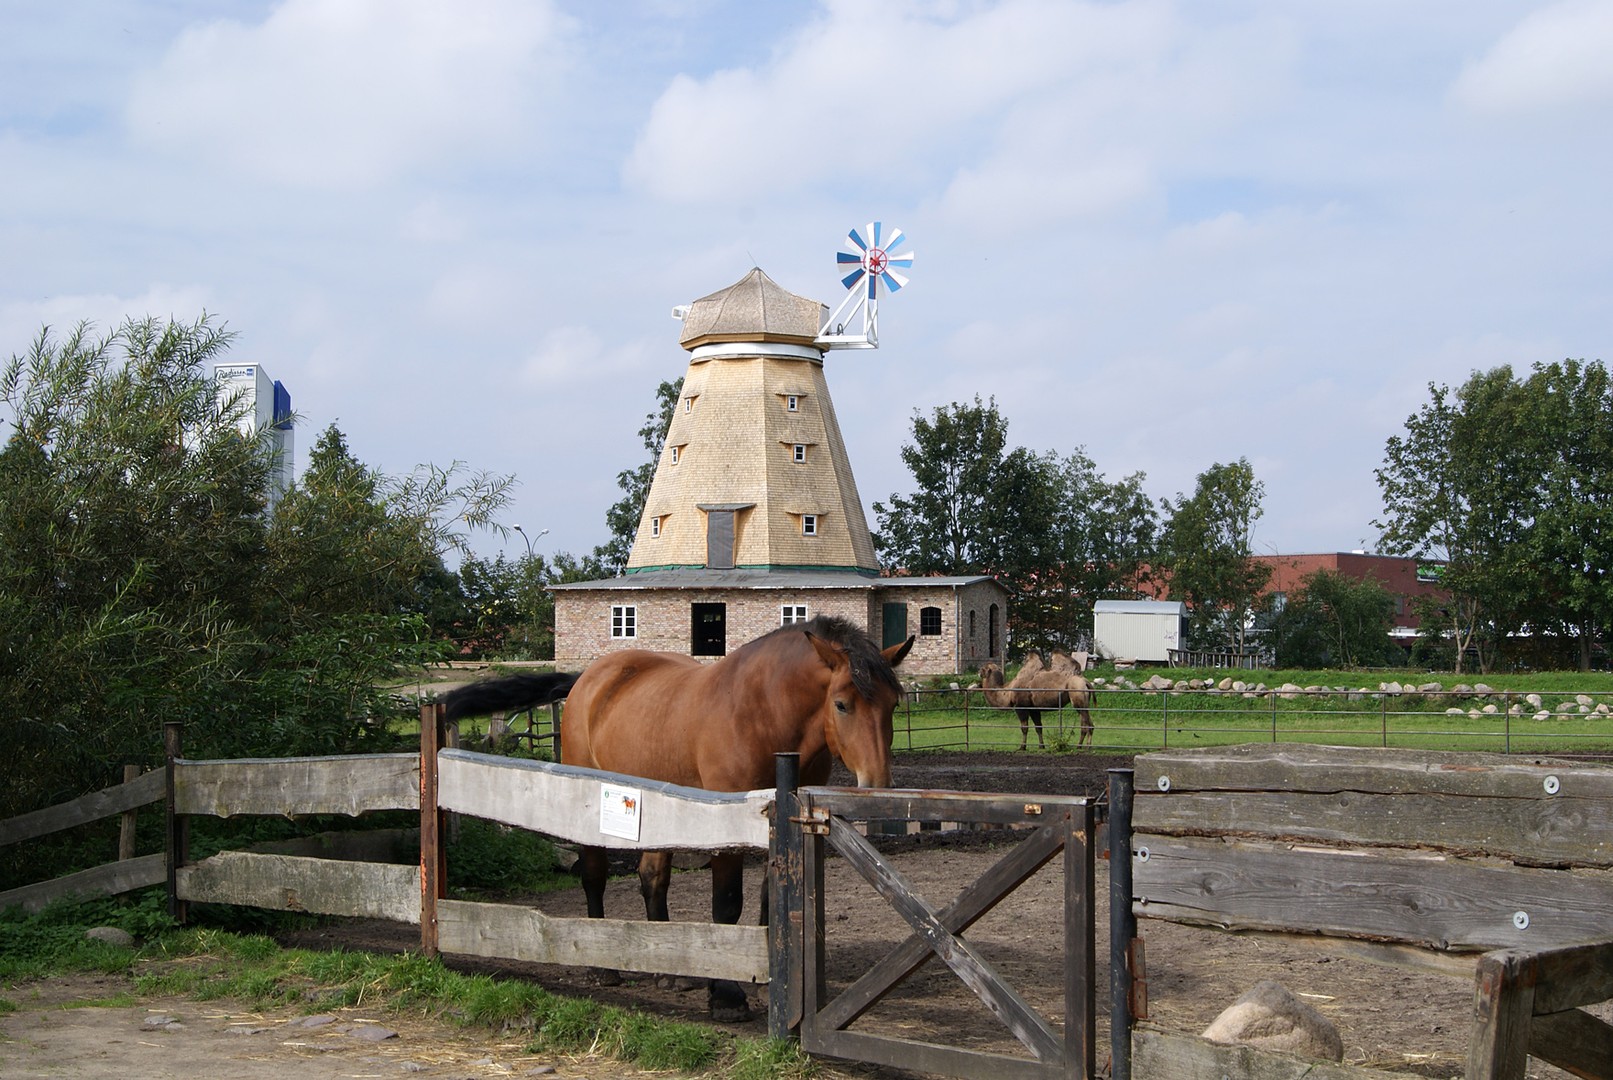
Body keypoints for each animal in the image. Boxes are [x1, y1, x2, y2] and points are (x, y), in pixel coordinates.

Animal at [442, 615, 914, 1023]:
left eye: (894, 704)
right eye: (842, 704)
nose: (877, 785)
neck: (763, 713)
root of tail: (588, 680)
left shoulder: (780, 821)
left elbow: (768, 901)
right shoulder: (727, 826)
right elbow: (727, 904)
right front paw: (726, 995)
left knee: (652, 877)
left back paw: (666, 967)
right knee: (593, 874)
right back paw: (600, 963)